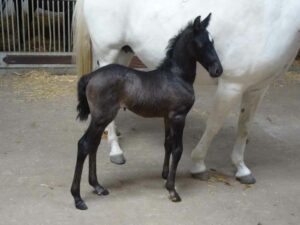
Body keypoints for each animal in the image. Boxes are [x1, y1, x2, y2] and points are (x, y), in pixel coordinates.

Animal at [70, 14, 223, 210]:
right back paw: (78, 198)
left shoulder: (167, 116)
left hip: (100, 119)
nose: (218, 70)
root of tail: (90, 76)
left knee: (93, 145)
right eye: (201, 43)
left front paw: (165, 176)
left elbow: (168, 144)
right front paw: (172, 190)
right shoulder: (179, 116)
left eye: (213, 41)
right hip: (102, 117)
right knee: (84, 145)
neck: (177, 76)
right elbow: (178, 149)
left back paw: (97, 186)